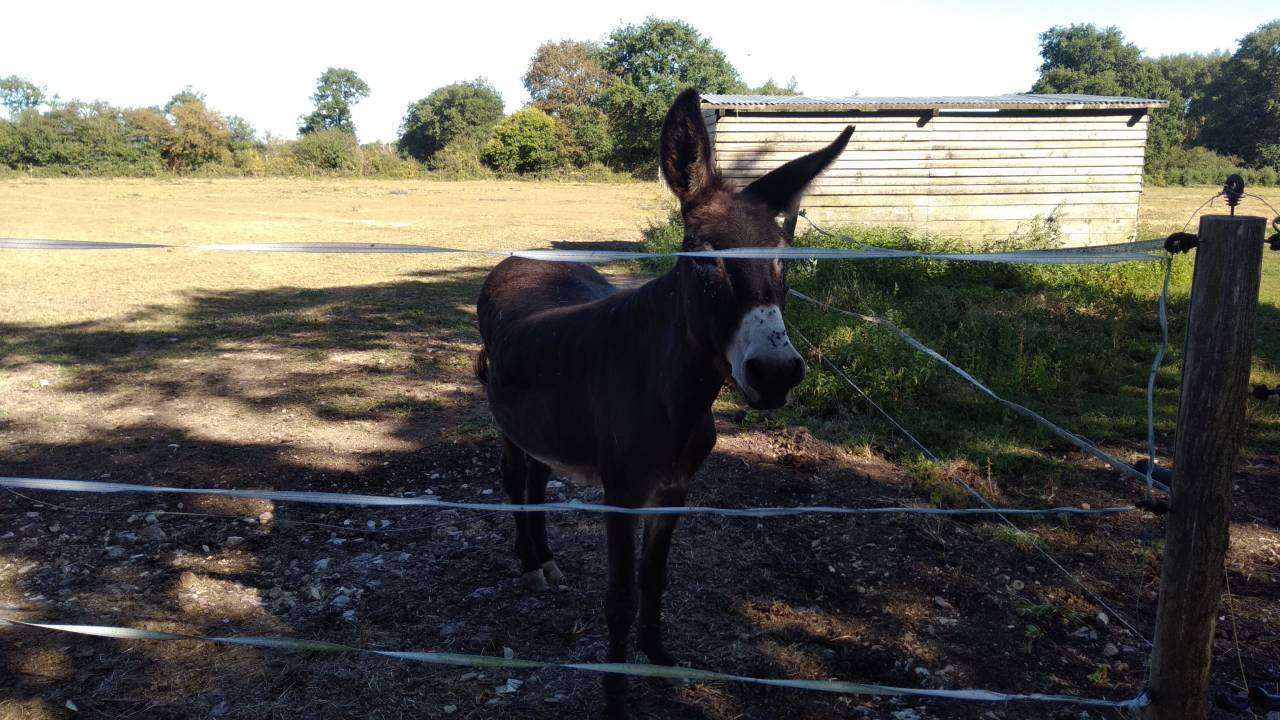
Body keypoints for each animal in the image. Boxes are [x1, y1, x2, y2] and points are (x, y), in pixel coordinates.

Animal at [475, 88, 851, 717]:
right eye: (705, 258)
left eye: (785, 258)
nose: (775, 373)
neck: (676, 394)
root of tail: (518, 258)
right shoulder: (622, 493)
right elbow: (621, 596)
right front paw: (615, 692)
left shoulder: (675, 487)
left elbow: (655, 580)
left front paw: (656, 659)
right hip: (506, 423)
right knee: (512, 480)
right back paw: (529, 562)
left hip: (544, 426)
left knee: (534, 479)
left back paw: (545, 558)